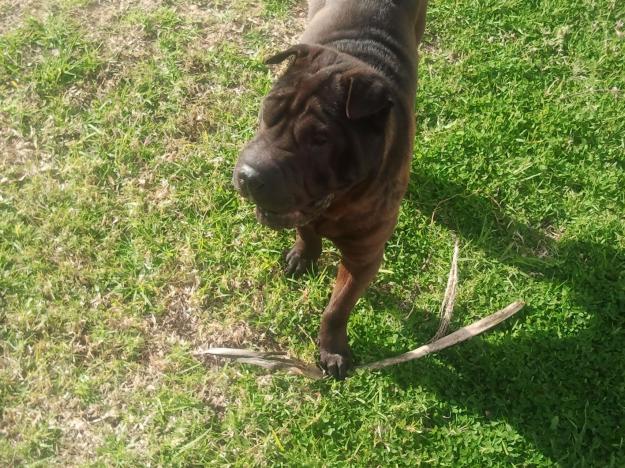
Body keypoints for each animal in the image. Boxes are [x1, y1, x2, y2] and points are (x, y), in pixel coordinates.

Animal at [234, 0, 428, 378]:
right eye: (268, 111)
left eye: (319, 140)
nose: (248, 175)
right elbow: (306, 231)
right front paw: (303, 255)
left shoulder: (364, 257)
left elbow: (337, 309)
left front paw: (332, 350)